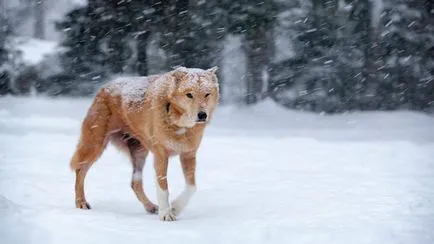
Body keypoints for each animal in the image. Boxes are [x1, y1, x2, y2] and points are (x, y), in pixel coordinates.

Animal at [71, 66, 220, 221]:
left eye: (207, 94)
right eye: (189, 95)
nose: (202, 115)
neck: (179, 124)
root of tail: (105, 87)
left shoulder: (188, 154)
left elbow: (191, 187)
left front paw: (175, 208)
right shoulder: (161, 156)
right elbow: (163, 188)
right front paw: (166, 213)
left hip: (140, 153)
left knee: (135, 183)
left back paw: (150, 207)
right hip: (95, 146)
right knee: (80, 171)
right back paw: (81, 202)